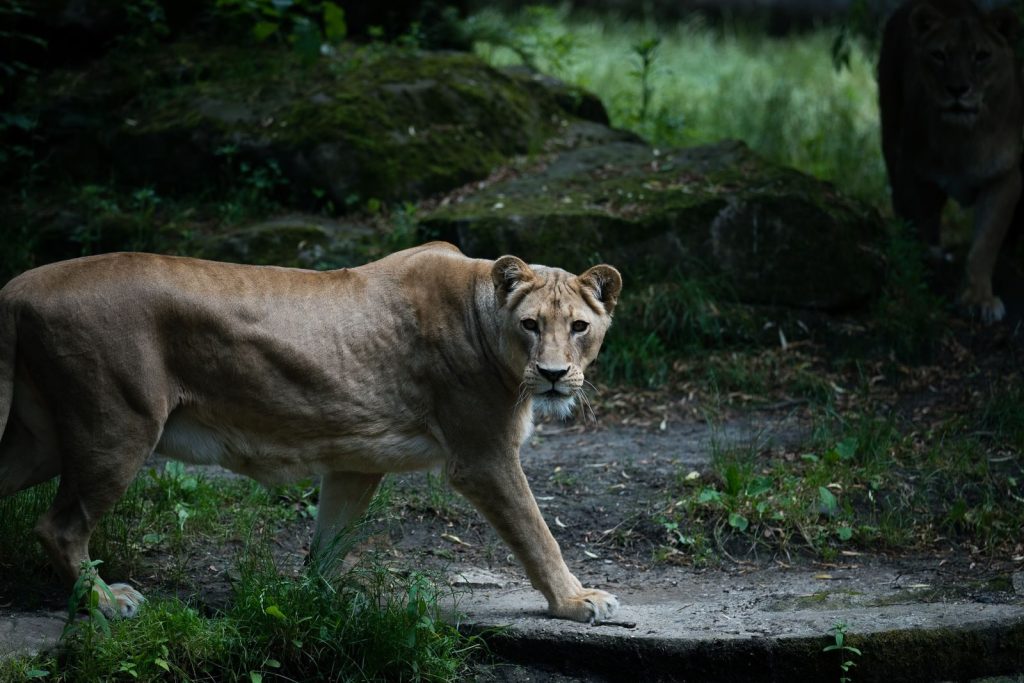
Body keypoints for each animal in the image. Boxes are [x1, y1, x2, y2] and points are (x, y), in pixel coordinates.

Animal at [0, 242, 622, 623]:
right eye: (531, 325)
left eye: (579, 327)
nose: (554, 374)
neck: (484, 319)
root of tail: (18, 287)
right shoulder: (483, 455)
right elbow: (536, 533)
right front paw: (576, 600)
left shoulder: (356, 461)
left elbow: (330, 539)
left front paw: (310, 602)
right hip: (117, 426)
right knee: (59, 526)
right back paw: (107, 602)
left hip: (41, 440)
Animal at [878, 0, 1023, 323]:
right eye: (939, 55)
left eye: (982, 56)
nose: (958, 89)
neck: (963, 139)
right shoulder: (912, 170)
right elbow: (916, 222)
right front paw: (917, 276)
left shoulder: (1005, 177)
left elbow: (985, 243)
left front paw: (978, 299)